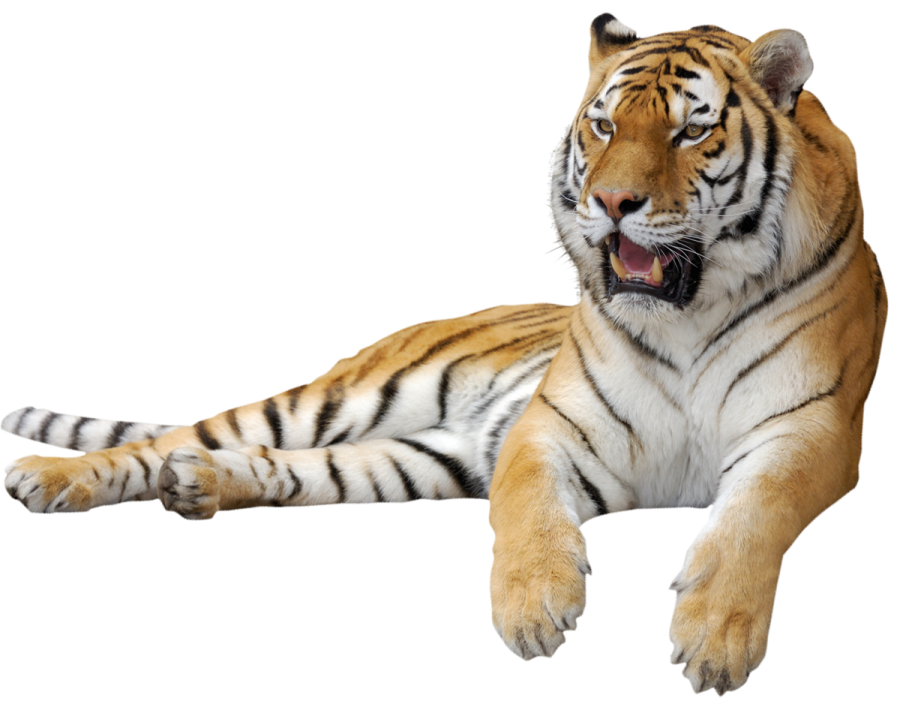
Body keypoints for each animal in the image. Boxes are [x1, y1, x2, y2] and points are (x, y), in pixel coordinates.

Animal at [0, 12, 886, 697]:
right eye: (604, 125)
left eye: (691, 130)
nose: (610, 202)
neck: (688, 317)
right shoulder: (549, 425)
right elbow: (527, 509)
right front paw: (534, 606)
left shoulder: (812, 430)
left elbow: (751, 517)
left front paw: (714, 638)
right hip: (339, 399)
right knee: (174, 439)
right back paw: (48, 478)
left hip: (421, 456)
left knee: (282, 468)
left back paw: (200, 488)